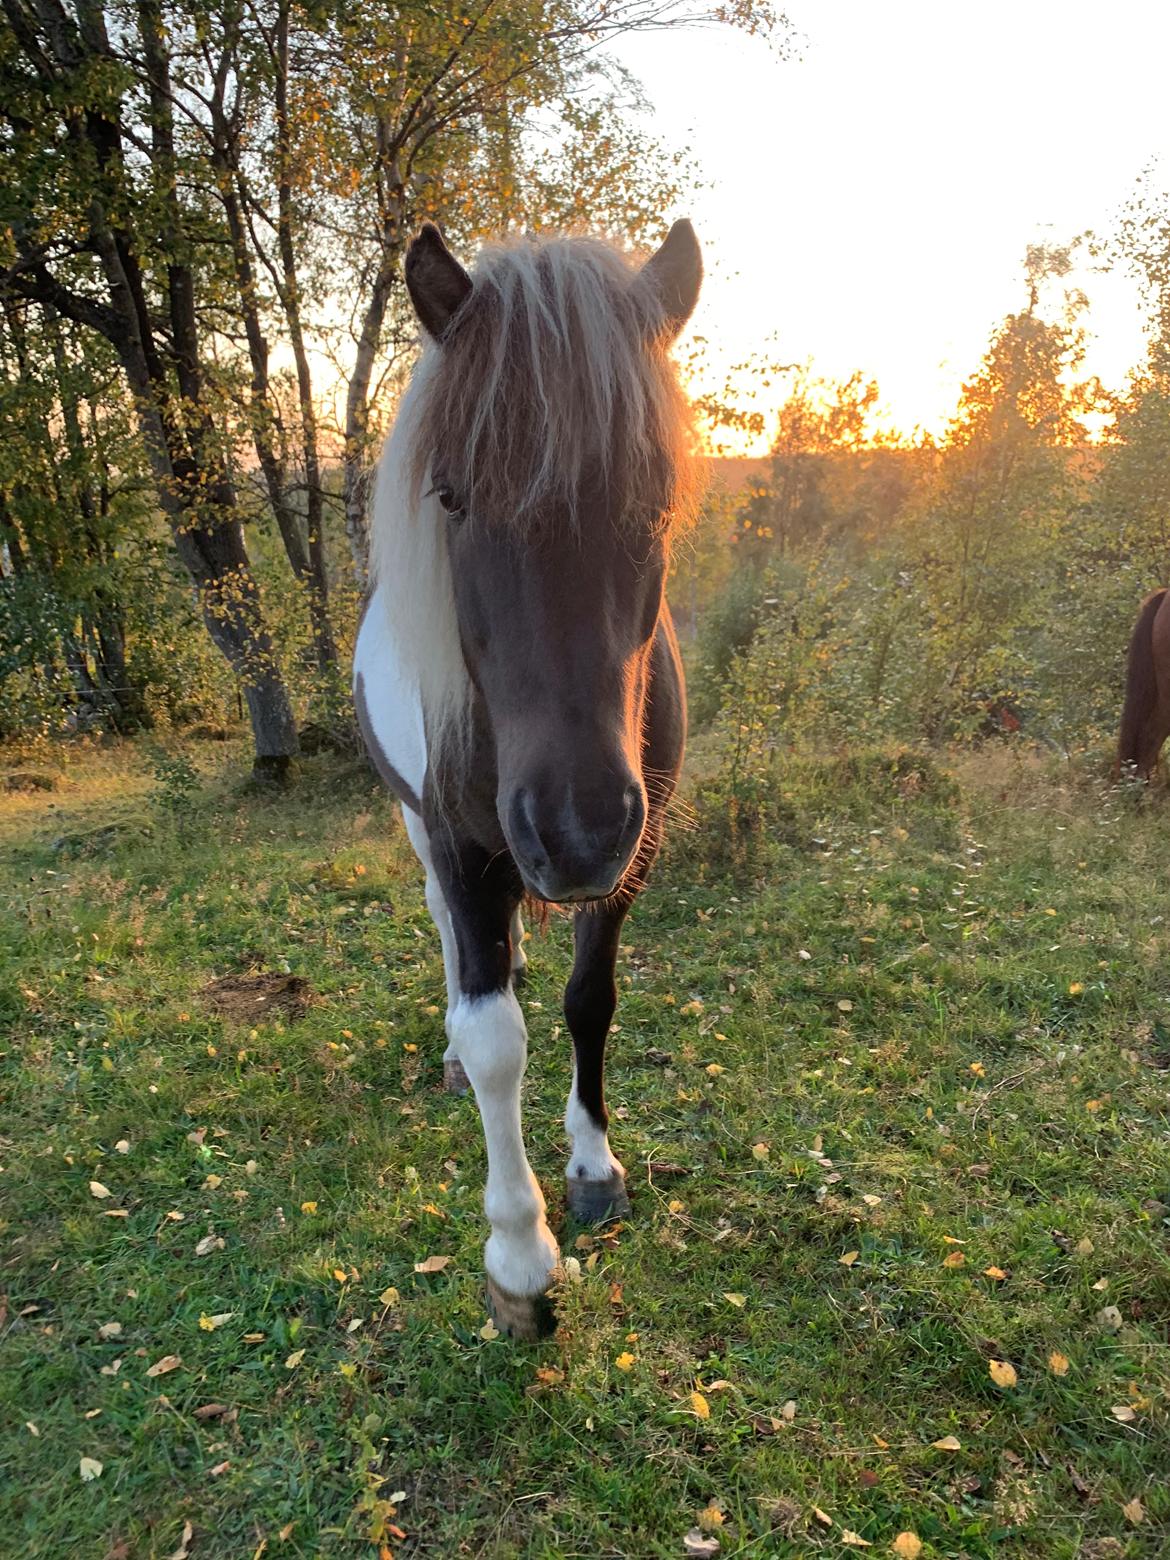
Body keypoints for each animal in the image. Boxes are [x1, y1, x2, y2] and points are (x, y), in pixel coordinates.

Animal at [352, 219, 705, 1341]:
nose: (573, 828)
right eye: (452, 495)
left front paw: (593, 1165)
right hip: (424, 832)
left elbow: (591, 1000)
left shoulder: (634, 852)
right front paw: (517, 1256)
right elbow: (496, 1036)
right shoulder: (465, 849)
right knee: (453, 949)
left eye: (658, 499)